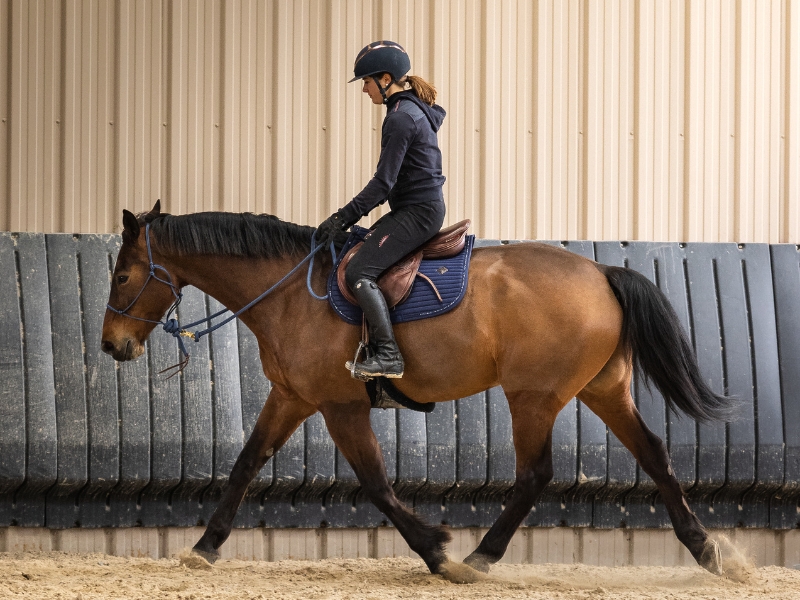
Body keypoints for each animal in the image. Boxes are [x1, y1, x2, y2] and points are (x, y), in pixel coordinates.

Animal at [101, 201, 731, 576]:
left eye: (124, 276)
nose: (112, 345)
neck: (289, 294)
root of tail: (600, 272)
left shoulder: (340, 406)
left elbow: (378, 484)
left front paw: (434, 548)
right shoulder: (292, 398)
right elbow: (246, 464)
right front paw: (205, 547)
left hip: (533, 397)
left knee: (535, 474)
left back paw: (479, 557)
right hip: (603, 390)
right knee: (654, 454)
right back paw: (706, 550)